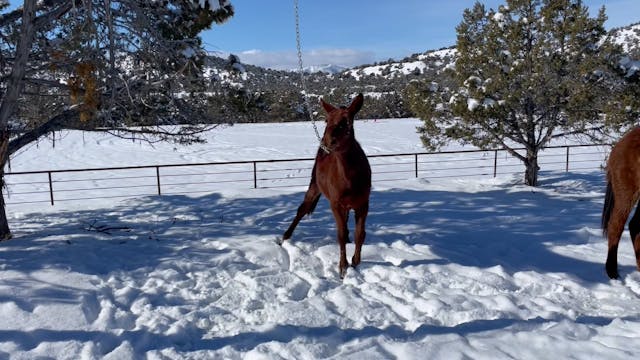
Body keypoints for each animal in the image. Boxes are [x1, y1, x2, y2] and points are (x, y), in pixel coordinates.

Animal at [280, 93, 370, 278]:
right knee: (302, 209)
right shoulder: (335, 203)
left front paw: (356, 262)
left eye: (346, 121)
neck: (350, 178)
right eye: (326, 120)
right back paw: (285, 236)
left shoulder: (363, 204)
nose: (328, 141)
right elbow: (340, 234)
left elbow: (360, 234)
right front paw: (343, 267)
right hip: (314, 186)